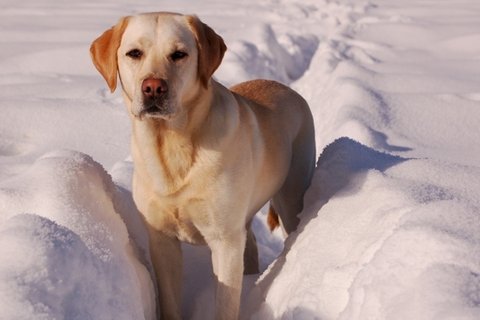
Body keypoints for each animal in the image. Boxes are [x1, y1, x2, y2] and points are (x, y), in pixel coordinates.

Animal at [91, 12, 316, 320]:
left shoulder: (224, 241)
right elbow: (170, 301)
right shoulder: (162, 240)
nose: (153, 88)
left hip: (291, 198)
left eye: (179, 54)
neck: (172, 144)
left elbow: (225, 303)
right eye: (134, 53)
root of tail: (287, 88)